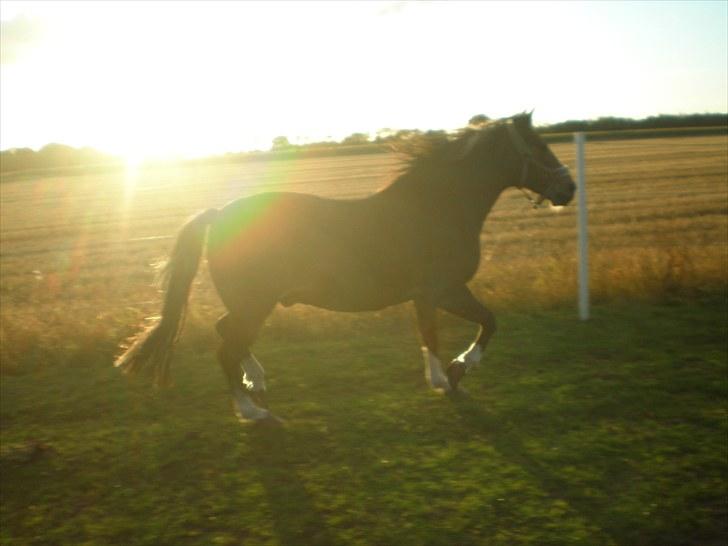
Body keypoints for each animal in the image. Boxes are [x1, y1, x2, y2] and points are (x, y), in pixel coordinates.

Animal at [115, 112, 576, 423]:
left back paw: (257, 381)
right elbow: (475, 325)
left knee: (226, 332)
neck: (436, 208)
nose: (568, 188)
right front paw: (453, 373)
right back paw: (251, 410)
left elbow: (442, 332)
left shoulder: (429, 295)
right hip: (255, 303)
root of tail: (220, 214)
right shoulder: (442, 291)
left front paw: (447, 376)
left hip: (250, 304)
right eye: (539, 147)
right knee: (225, 347)